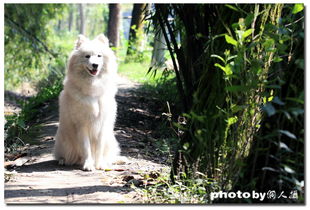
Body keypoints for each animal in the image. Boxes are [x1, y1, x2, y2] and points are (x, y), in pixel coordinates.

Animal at [54, 33, 119, 171]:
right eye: (87, 56)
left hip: (110, 139)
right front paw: (89, 165)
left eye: (99, 56)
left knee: (110, 156)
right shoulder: (82, 125)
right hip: (64, 141)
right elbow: (86, 148)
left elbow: (99, 148)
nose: (95, 65)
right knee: (63, 156)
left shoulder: (102, 124)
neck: (92, 89)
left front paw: (99, 164)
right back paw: (63, 161)